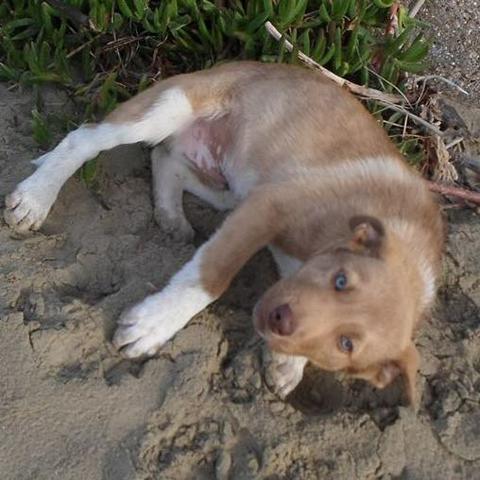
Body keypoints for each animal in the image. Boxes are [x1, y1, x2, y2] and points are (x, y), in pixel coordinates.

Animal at [2, 61, 442, 404]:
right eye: (341, 279)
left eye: (346, 344)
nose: (280, 320)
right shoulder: (269, 205)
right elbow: (211, 276)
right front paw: (152, 325)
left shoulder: (257, 208)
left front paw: (287, 365)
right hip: (168, 110)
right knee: (86, 138)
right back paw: (36, 197)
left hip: (227, 186)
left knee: (165, 158)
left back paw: (170, 215)